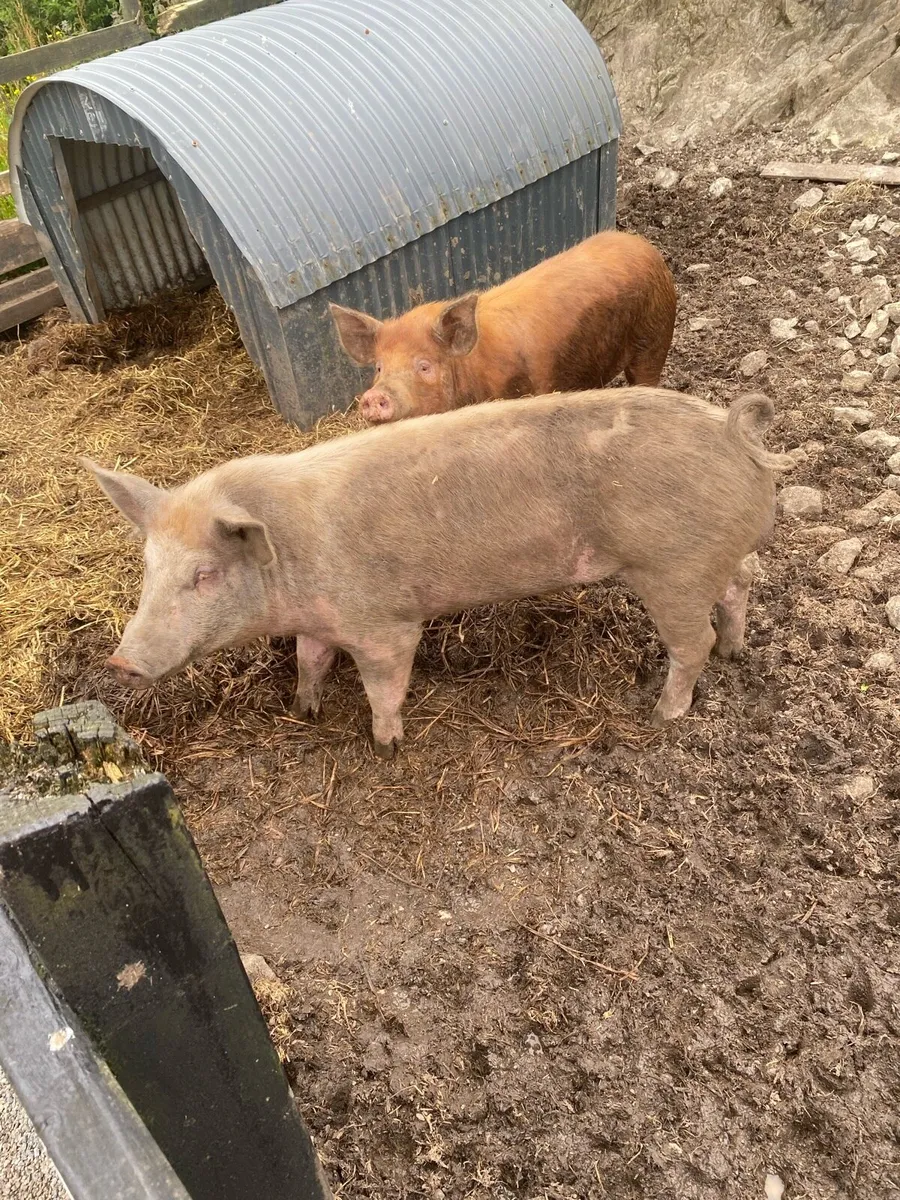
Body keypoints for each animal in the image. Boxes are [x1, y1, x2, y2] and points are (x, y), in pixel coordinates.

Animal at [83, 387, 787, 758]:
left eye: (204, 574)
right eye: (148, 567)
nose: (120, 661)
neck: (292, 560)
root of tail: (737, 436)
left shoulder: (384, 625)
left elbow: (384, 686)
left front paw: (386, 748)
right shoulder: (318, 621)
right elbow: (310, 659)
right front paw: (304, 708)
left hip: (673, 569)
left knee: (692, 642)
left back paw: (662, 716)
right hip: (712, 561)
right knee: (742, 584)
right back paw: (737, 652)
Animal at [329, 231, 677, 423]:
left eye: (425, 366)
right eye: (378, 368)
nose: (374, 396)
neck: (471, 372)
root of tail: (643, 245)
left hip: (656, 336)